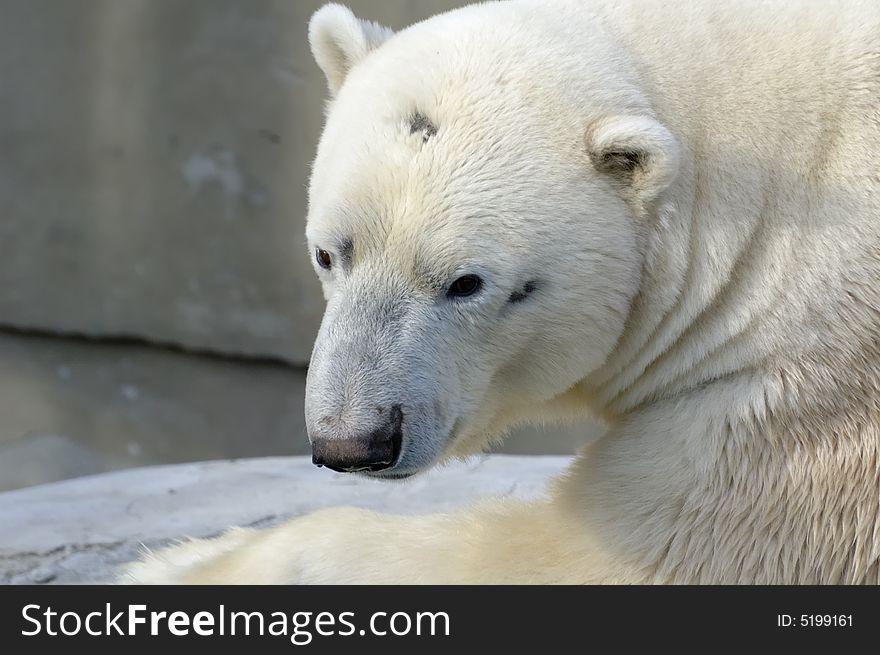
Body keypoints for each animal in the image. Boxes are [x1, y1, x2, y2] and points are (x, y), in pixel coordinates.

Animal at [124, 0, 880, 584]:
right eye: (328, 253)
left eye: (466, 283)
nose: (354, 441)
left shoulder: (796, 401)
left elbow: (602, 557)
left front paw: (185, 562)